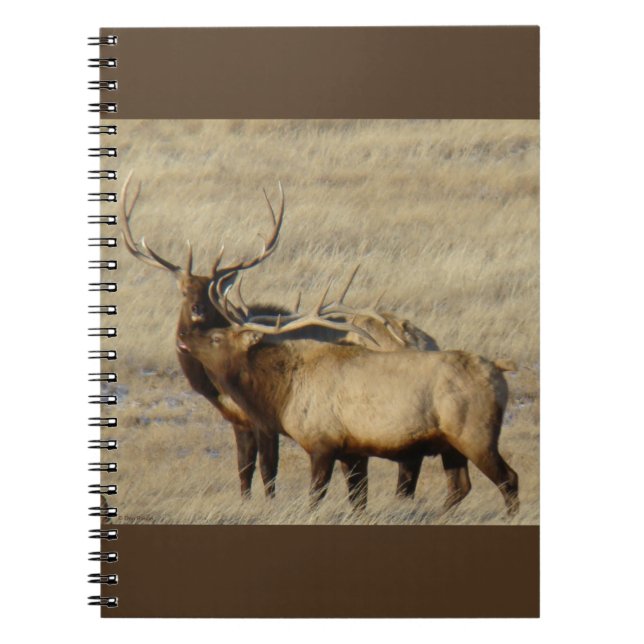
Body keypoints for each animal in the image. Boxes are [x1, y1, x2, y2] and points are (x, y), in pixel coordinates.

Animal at [178, 279, 520, 517]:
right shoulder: (351, 450)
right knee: (459, 487)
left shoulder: (322, 443)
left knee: (509, 479)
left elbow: (315, 497)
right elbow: (358, 501)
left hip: (475, 433)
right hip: (450, 444)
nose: (183, 337)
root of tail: (499, 369)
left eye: (216, 337)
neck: (282, 394)